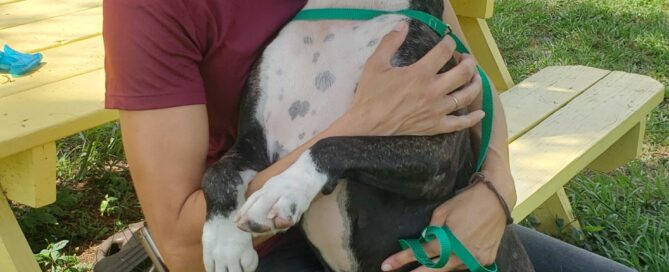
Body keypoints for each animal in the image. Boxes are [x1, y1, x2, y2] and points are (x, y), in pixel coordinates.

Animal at [200, 0, 532, 272]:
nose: (225, 243)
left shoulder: (438, 154)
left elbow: (332, 144)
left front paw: (283, 191)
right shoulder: (251, 143)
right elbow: (215, 174)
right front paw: (224, 245)